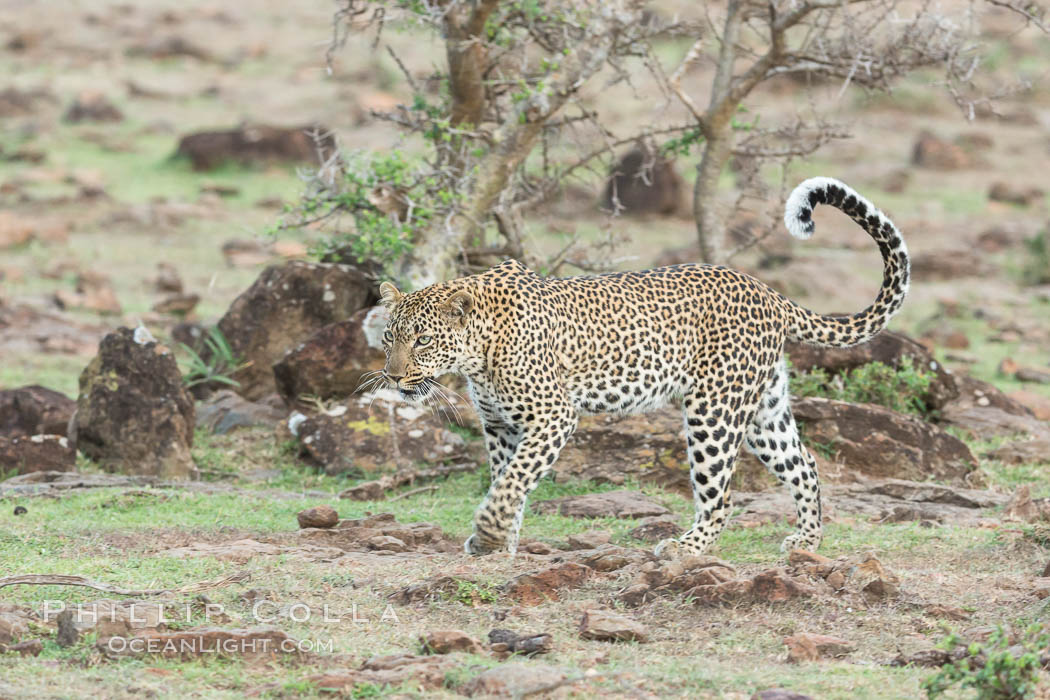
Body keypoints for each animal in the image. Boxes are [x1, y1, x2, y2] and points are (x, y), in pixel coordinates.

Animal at [377, 178, 911, 562]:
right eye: (389, 337)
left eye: (423, 340)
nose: (395, 377)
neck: (479, 351)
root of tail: (767, 291)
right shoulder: (500, 426)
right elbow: (506, 481)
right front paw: (500, 542)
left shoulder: (553, 416)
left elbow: (512, 482)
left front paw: (488, 535)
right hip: (763, 408)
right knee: (805, 464)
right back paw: (806, 542)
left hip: (713, 410)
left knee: (721, 495)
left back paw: (685, 547)